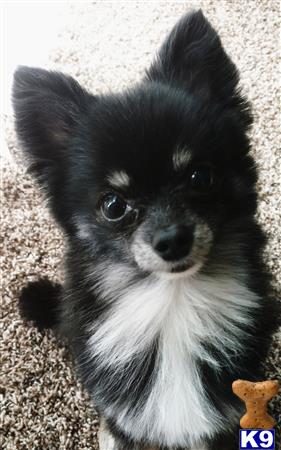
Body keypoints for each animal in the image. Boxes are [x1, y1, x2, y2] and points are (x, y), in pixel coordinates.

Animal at [12, 9, 278, 450]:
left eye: (200, 176)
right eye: (113, 205)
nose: (172, 239)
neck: (175, 304)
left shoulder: (225, 419)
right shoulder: (123, 420)